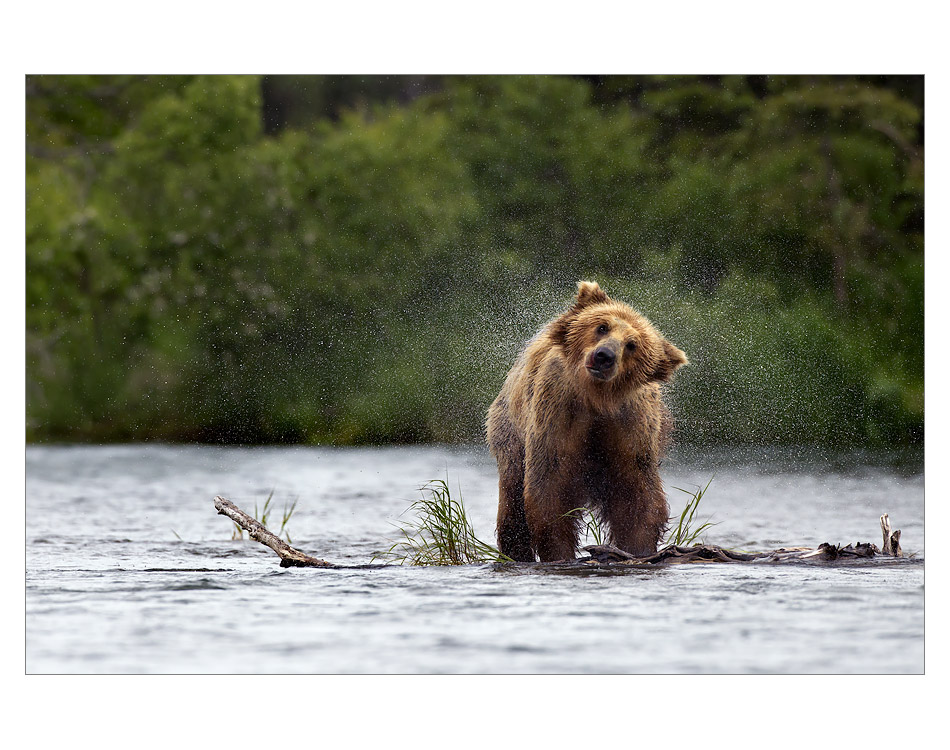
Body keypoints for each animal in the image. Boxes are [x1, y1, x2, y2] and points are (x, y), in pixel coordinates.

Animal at [486, 281, 687, 562]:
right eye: (602, 327)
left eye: (632, 344)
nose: (604, 356)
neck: (596, 400)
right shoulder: (557, 412)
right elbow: (549, 488)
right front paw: (559, 553)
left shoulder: (630, 424)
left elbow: (637, 495)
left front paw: (639, 550)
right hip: (509, 433)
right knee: (512, 500)